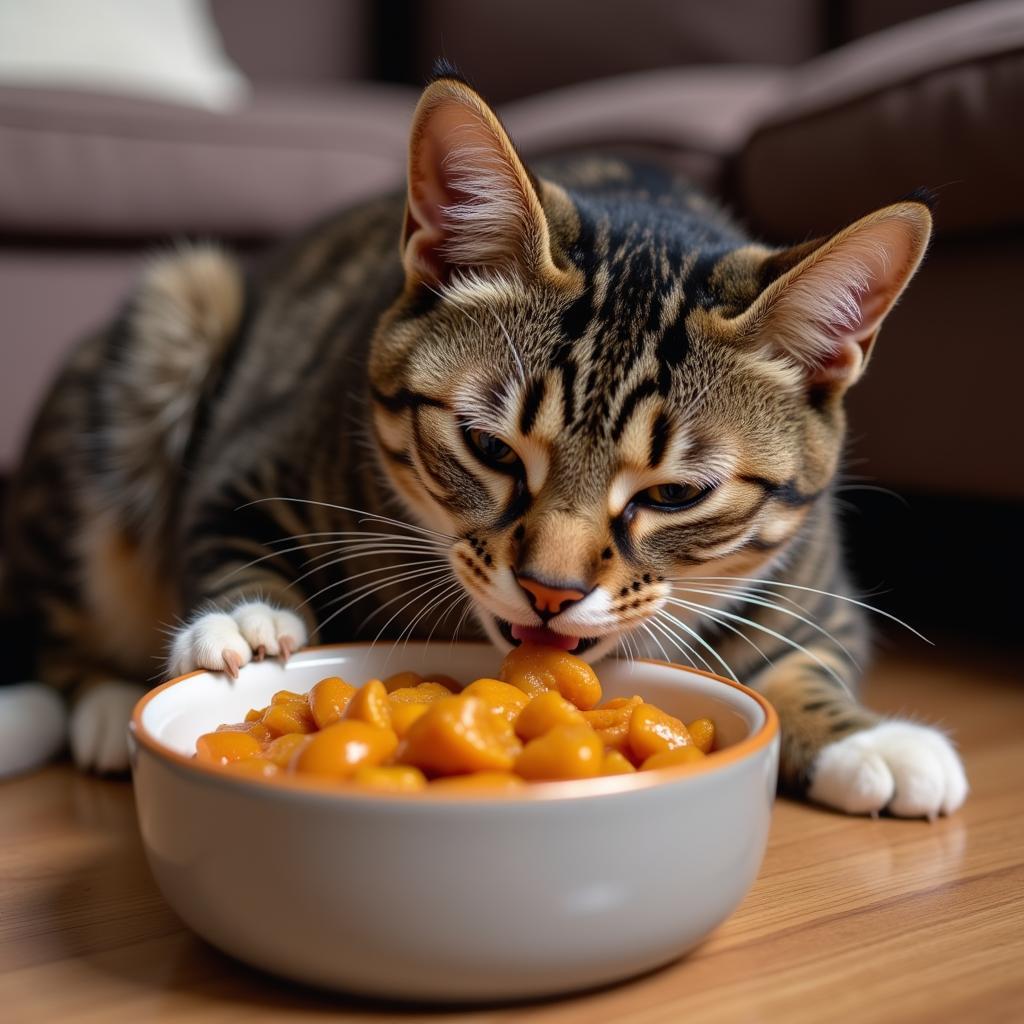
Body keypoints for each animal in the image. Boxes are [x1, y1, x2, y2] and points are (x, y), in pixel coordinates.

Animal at [0, 74, 962, 815]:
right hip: (175, 316)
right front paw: (246, 620)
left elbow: (803, 654)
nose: (549, 592)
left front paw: (869, 741)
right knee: (58, 617)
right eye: (488, 449)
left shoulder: (814, 576)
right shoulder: (255, 455)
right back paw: (90, 705)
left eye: (675, 494)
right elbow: (227, 530)